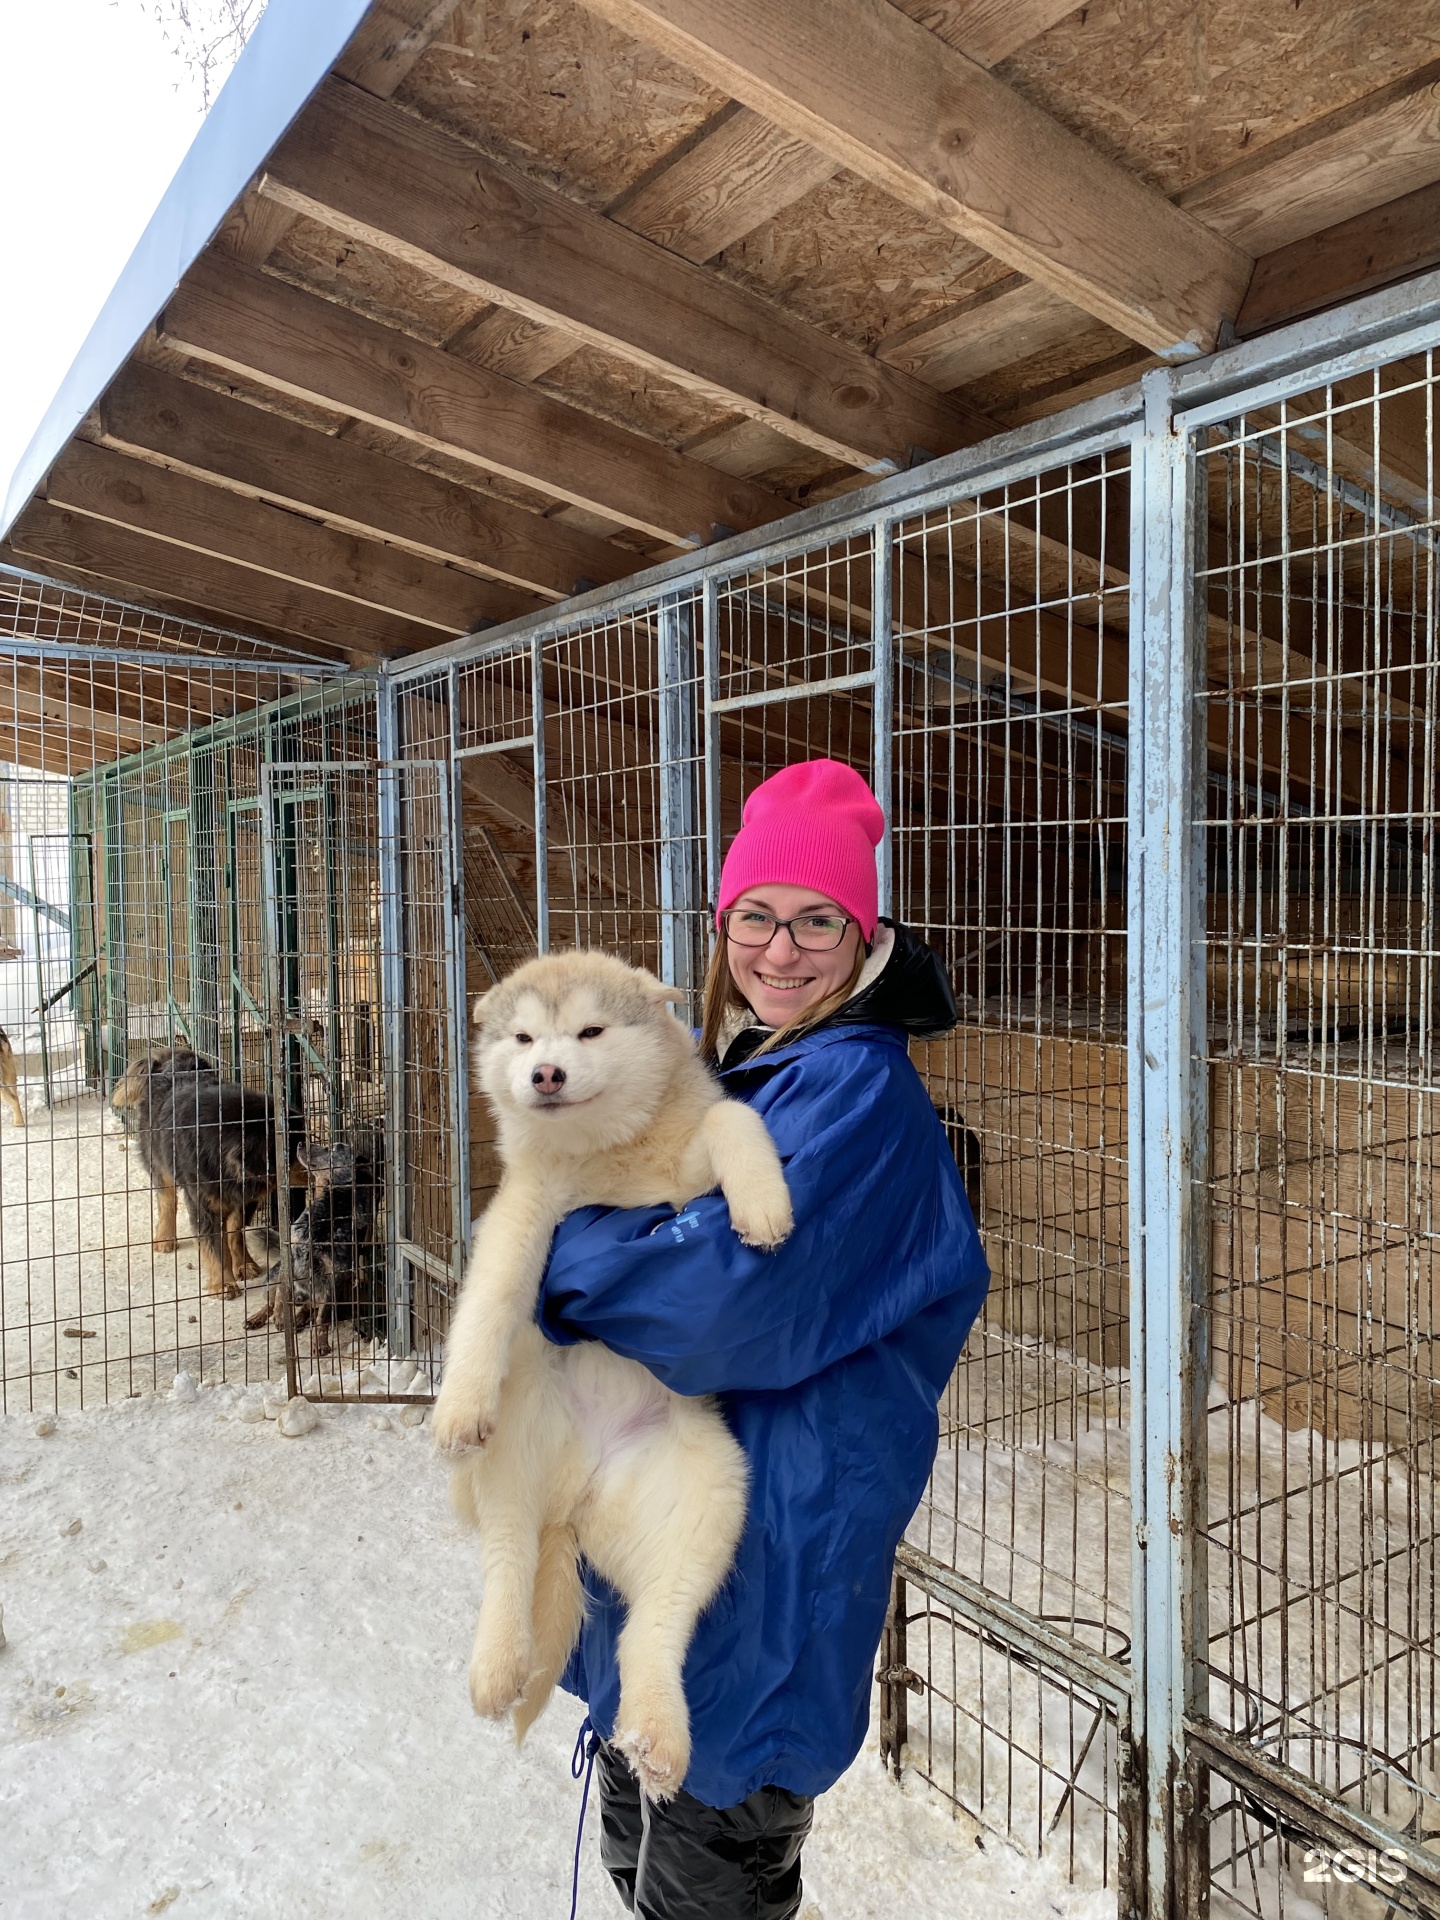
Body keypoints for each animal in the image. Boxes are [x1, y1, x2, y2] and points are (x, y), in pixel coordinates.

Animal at [111, 1052, 299, 1305]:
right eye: (292, 1152)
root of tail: (168, 1059)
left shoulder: (244, 1199)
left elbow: (234, 1232)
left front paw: (244, 1264)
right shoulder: (204, 1204)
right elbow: (214, 1247)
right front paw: (223, 1284)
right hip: (158, 1160)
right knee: (167, 1200)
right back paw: (165, 1239)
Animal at [247, 1128, 385, 1359]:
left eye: (333, 1148)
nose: (300, 1143)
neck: (329, 1209)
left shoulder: (333, 1279)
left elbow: (322, 1319)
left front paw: (320, 1344)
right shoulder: (290, 1259)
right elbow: (281, 1295)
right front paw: (280, 1316)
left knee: (309, 1309)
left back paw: (299, 1318)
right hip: (272, 1277)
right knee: (270, 1300)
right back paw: (260, 1318)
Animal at [433, 944, 794, 1797]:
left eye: (590, 1032)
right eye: (524, 1038)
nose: (546, 1074)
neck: (608, 1163)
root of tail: (576, 1498)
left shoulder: (685, 1176)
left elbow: (733, 1117)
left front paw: (763, 1207)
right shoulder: (527, 1212)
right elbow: (490, 1299)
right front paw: (457, 1404)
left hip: (710, 1495)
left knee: (650, 1630)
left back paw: (657, 1734)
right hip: (516, 1446)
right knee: (508, 1558)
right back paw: (498, 1664)